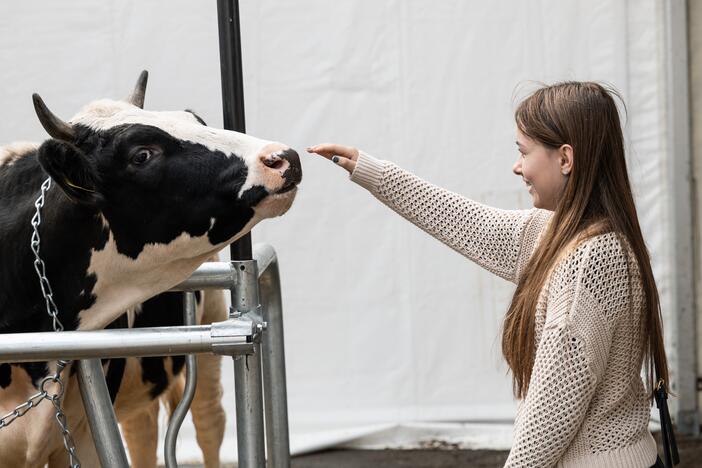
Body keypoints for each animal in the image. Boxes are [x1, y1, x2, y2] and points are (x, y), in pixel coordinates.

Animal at [0, 70, 302, 468]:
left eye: (196, 121)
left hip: (208, 357)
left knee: (208, 426)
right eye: (141, 154)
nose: (283, 157)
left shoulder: (82, 433)